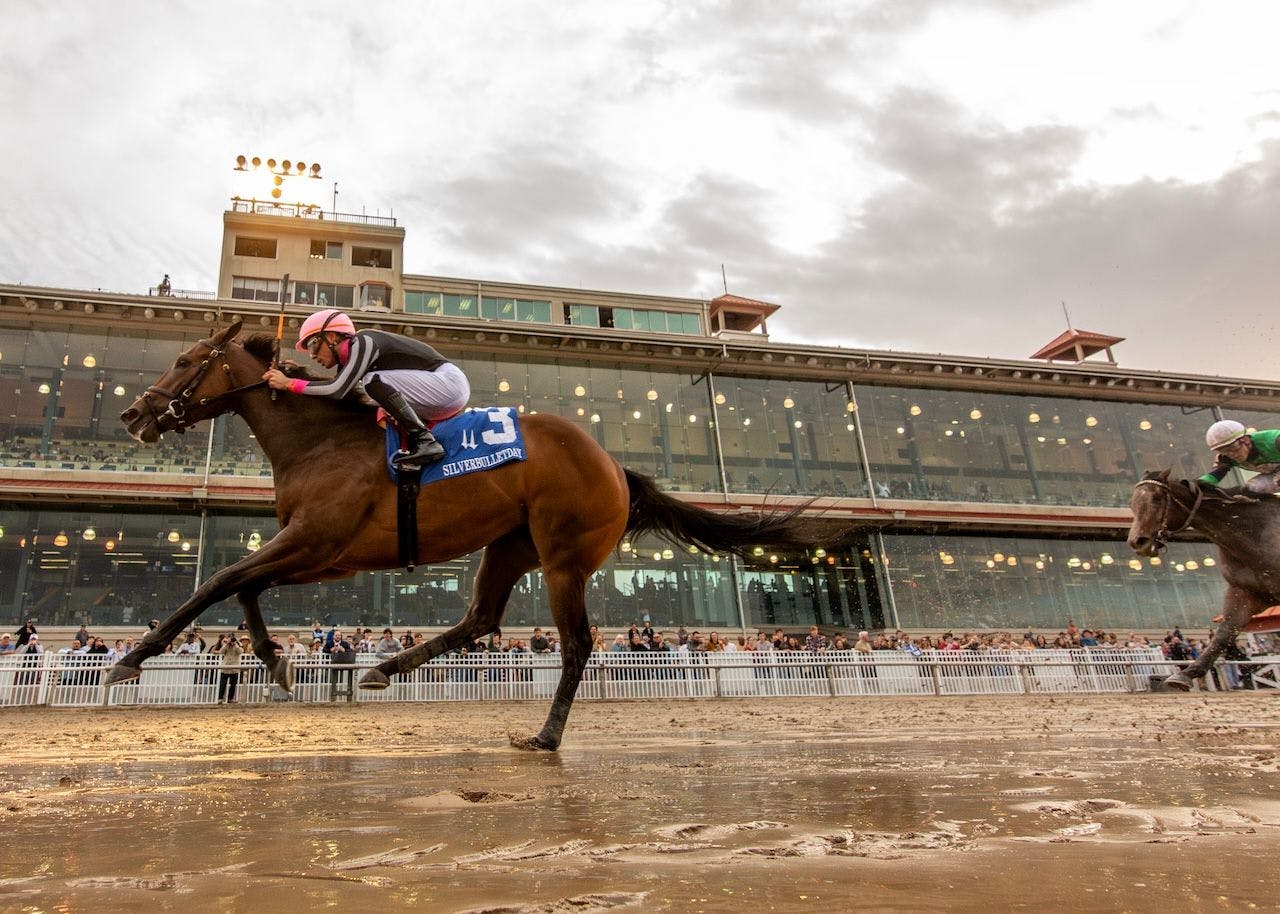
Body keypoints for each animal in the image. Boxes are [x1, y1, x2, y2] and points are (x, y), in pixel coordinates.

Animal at [112, 321, 815, 749]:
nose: (133, 413)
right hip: (508, 546)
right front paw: (275, 659)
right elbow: (244, 586)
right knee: (480, 618)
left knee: (577, 645)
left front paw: (132, 657)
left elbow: (219, 580)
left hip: (563, 556)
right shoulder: (328, 555)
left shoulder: (318, 542)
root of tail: (615, 465)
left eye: (184, 360)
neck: (320, 441)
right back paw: (384, 668)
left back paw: (545, 736)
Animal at [1127, 469, 1279, 690]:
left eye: (1156, 498)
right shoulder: (1244, 592)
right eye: (1132, 502)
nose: (1137, 541)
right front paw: (1185, 674)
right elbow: (1223, 633)